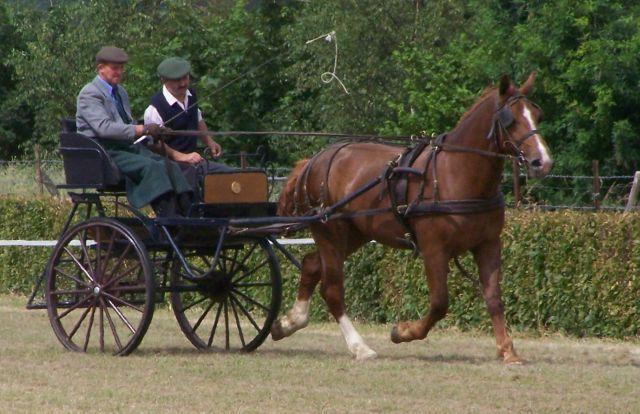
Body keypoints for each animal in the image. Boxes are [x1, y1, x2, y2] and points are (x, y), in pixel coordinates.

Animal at [270, 73, 552, 362]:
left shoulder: (488, 244)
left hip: (354, 234)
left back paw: (289, 322)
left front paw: (507, 350)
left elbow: (494, 297)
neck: (456, 173)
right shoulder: (434, 248)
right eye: (510, 119)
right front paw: (404, 332)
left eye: (537, 115)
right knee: (332, 289)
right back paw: (359, 347)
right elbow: (440, 302)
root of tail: (314, 160)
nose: (542, 161)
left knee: (311, 264)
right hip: (330, 231)